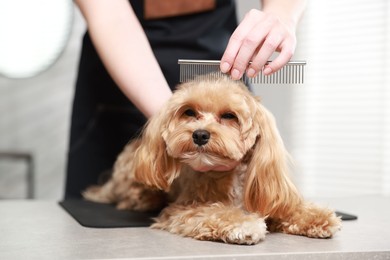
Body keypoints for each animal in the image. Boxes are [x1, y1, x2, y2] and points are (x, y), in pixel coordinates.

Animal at [83, 74, 342, 244]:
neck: (229, 178)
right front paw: (243, 224)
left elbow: (287, 208)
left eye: (229, 116)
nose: (200, 134)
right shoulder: (183, 210)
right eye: (189, 112)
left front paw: (317, 217)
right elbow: (214, 212)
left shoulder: (266, 195)